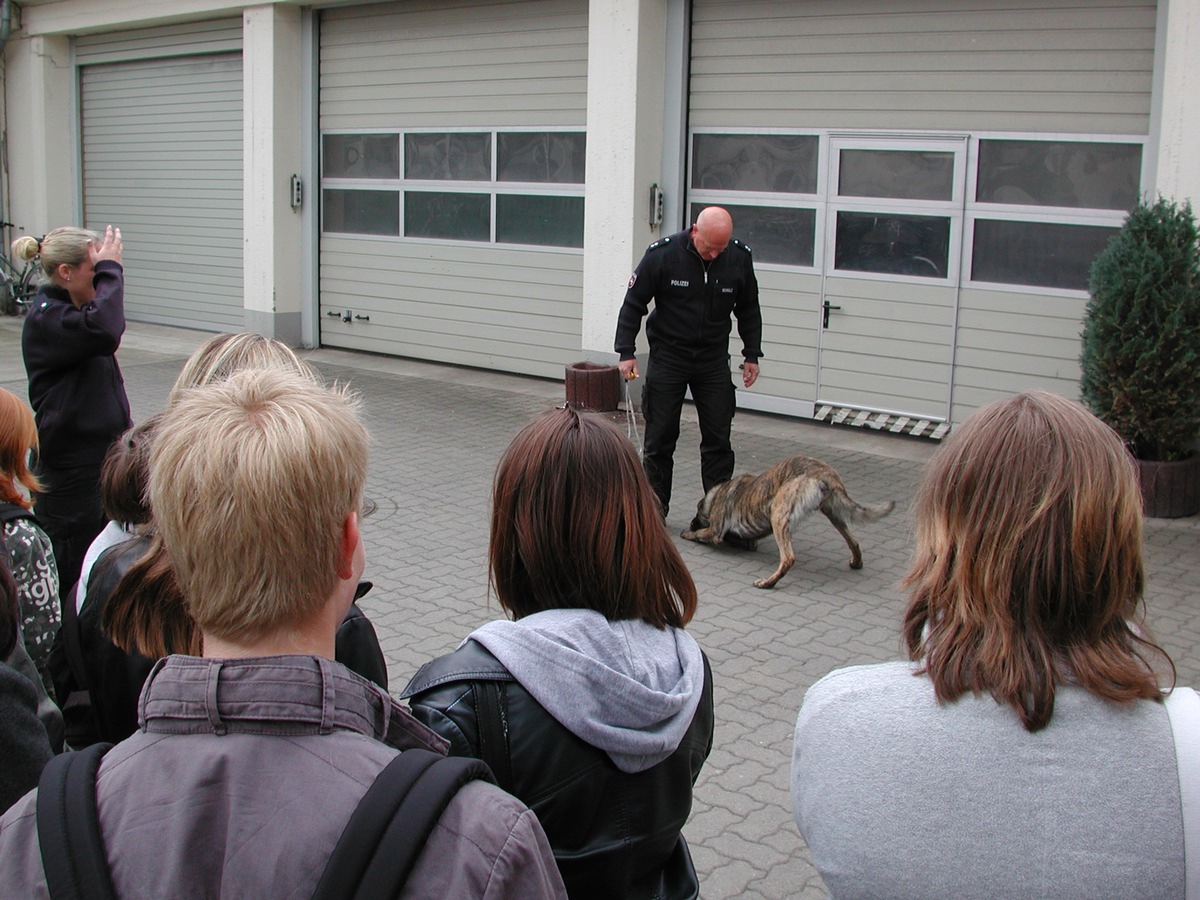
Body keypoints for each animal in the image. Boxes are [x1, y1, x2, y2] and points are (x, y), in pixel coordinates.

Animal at [681, 458, 897, 592]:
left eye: (697, 516)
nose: (691, 523)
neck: (719, 493)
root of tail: (823, 473)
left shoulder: (714, 531)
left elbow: (700, 534)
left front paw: (688, 533)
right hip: (833, 512)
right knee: (854, 541)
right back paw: (856, 562)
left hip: (778, 513)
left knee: (788, 558)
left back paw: (768, 582)